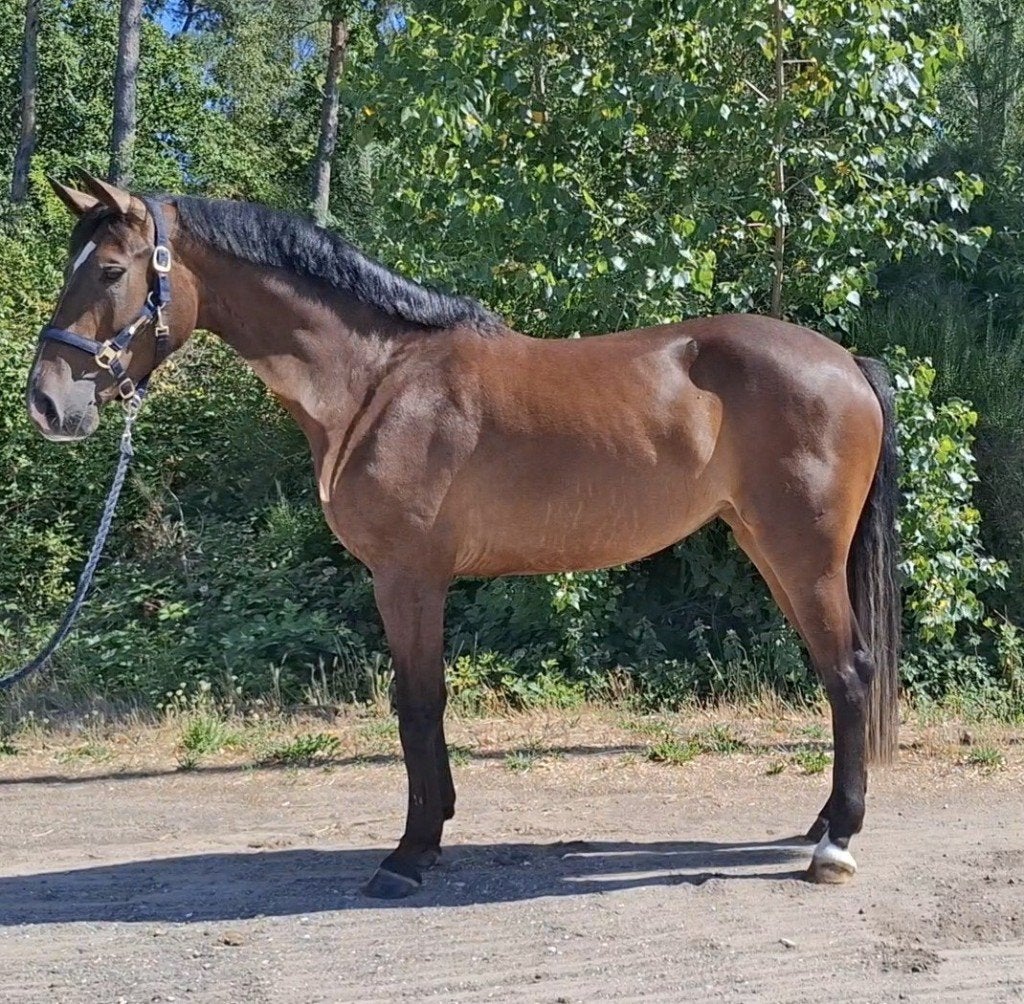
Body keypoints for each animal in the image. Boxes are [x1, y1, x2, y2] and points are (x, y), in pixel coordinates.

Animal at [27, 172, 900, 899]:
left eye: (111, 270)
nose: (46, 402)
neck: (378, 380)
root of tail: (846, 362)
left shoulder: (407, 576)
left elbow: (418, 704)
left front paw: (410, 853)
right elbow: (421, 704)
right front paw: (435, 825)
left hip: (802, 554)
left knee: (848, 671)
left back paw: (837, 844)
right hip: (769, 548)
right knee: (835, 674)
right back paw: (823, 822)